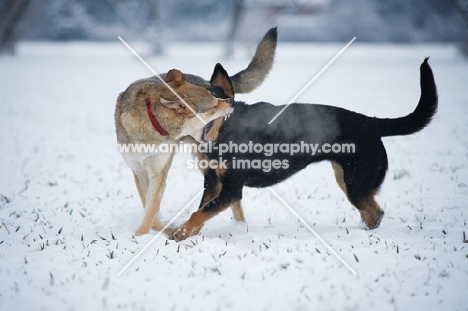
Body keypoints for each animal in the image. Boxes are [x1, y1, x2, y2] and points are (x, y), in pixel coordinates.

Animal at [171, 58, 438, 241]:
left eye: (211, 104)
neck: (227, 131)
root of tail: (371, 122)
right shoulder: (213, 183)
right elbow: (201, 211)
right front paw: (188, 233)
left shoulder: (232, 189)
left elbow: (200, 213)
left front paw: (180, 233)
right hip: (347, 179)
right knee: (372, 211)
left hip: (356, 182)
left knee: (375, 213)